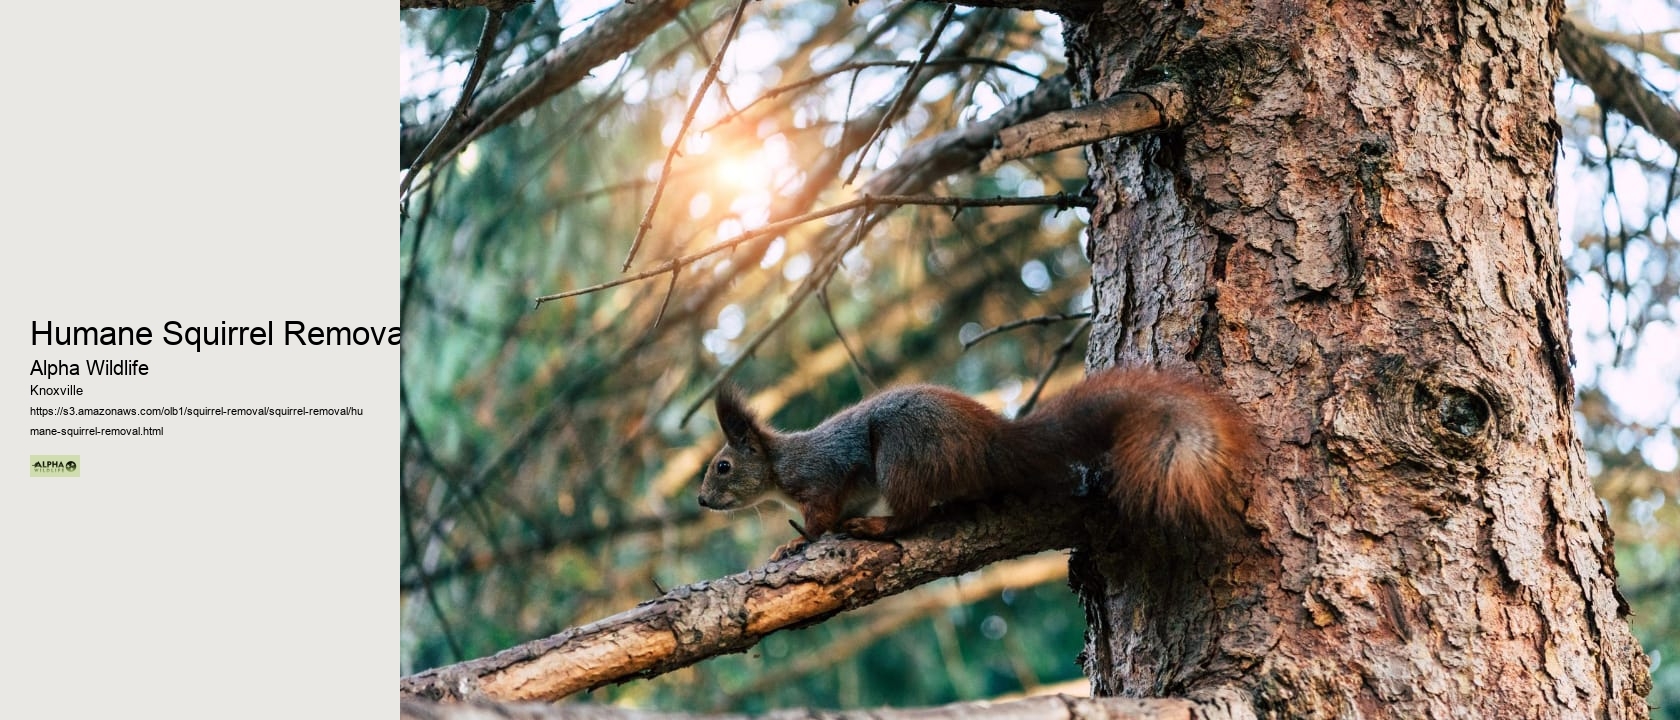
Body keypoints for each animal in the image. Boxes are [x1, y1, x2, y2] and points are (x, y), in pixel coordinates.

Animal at [697, 367, 1255, 557]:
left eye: (722, 467)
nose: (701, 501)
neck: (777, 465)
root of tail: (993, 442)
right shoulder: (853, 489)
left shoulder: (820, 479)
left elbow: (820, 519)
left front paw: (793, 543)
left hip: (904, 452)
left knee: (912, 514)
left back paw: (878, 529)